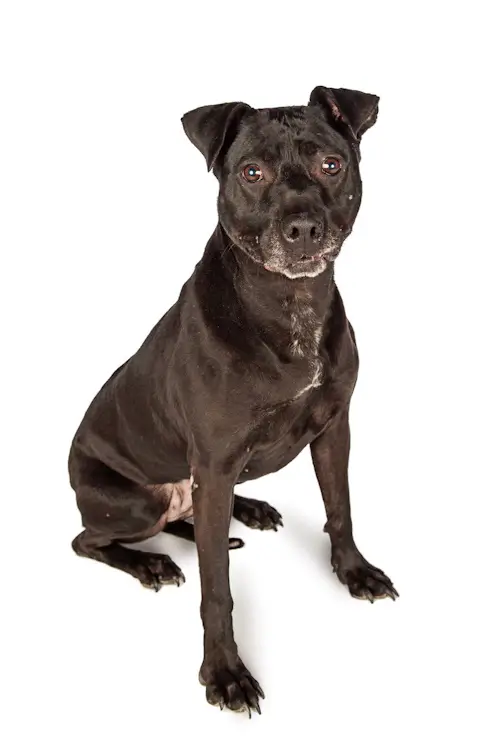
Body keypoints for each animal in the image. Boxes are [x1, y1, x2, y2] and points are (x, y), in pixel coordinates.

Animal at [69, 86, 398, 716]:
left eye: (332, 164)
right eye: (252, 172)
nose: (302, 227)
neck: (291, 304)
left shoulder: (333, 430)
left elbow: (340, 508)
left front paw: (354, 572)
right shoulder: (216, 462)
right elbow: (216, 589)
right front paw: (224, 672)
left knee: (191, 520)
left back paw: (244, 515)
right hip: (134, 502)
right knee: (89, 540)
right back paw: (150, 562)